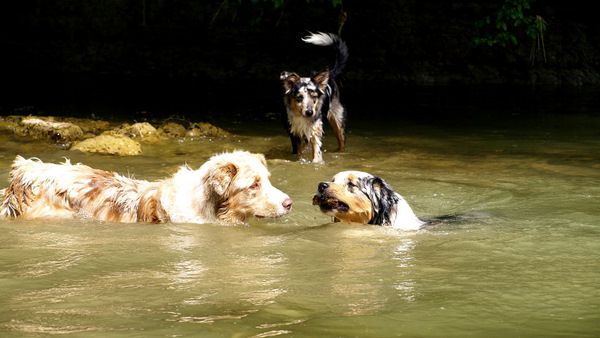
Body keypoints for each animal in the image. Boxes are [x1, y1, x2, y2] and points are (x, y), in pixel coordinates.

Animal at [280, 31, 346, 163]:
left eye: (314, 96)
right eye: (299, 97)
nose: (310, 112)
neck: (302, 117)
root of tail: (330, 74)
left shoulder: (315, 130)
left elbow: (316, 153)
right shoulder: (294, 132)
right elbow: (299, 152)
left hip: (337, 120)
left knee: (341, 141)